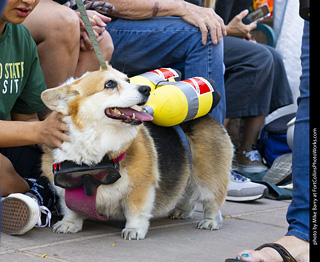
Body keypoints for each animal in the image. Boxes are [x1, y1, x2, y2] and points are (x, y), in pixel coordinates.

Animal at [41, 64, 234, 239]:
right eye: (109, 84)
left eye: (127, 80)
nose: (146, 89)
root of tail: (208, 116)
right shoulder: (64, 189)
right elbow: (71, 209)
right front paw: (68, 224)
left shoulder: (141, 187)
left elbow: (136, 212)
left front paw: (133, 230)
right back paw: (181, 211)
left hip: (208, 178)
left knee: (212, 202)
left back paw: (210, 221)